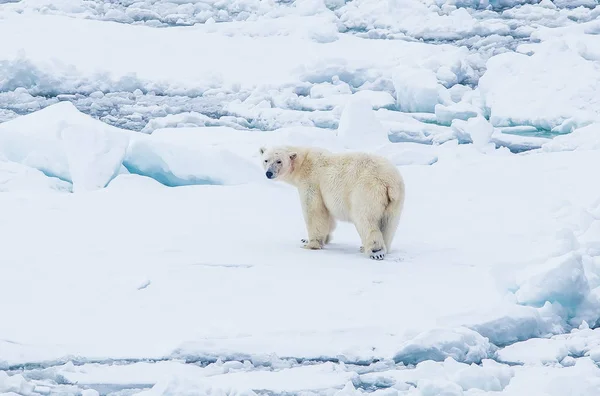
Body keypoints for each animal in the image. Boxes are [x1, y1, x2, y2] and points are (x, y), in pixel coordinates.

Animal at [258, 145, 406, 260]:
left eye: (279, 161)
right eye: (266, 160)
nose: (269, 173)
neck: (304, 162)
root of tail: (388, 181)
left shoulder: (312, 183)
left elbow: (314, 212)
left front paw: (310, 244)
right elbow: (328, 217)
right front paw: (312, 238)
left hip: (366, 191)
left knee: (366, 220)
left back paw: (375, 251)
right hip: (395, 200)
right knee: (389, 224)